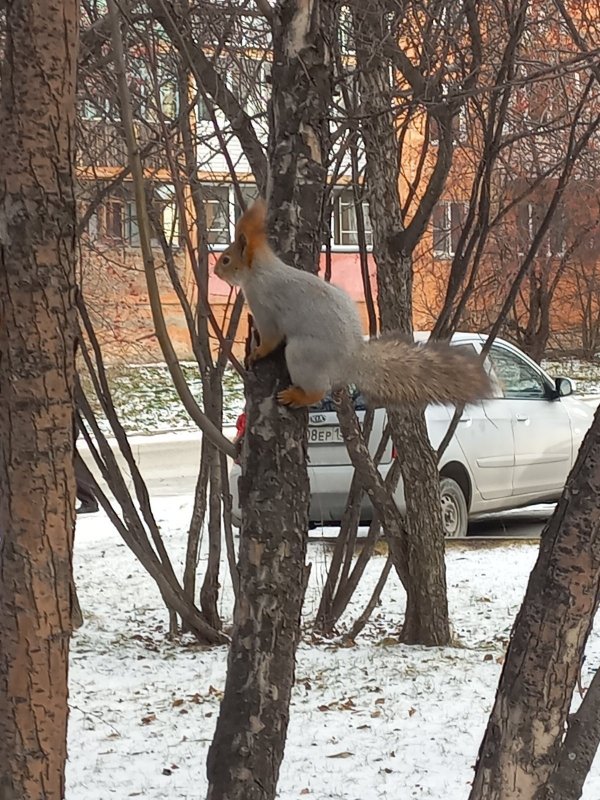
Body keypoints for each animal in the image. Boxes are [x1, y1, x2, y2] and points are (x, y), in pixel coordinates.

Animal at [216, 199, 492, 410]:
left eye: (227, 259)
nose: (216, 270)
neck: (260, 270)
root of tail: (352, 359)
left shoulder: (263, 303)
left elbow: (271, 337)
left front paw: (256, 352)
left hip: (303, 353)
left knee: (317, 388)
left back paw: (299, 396)